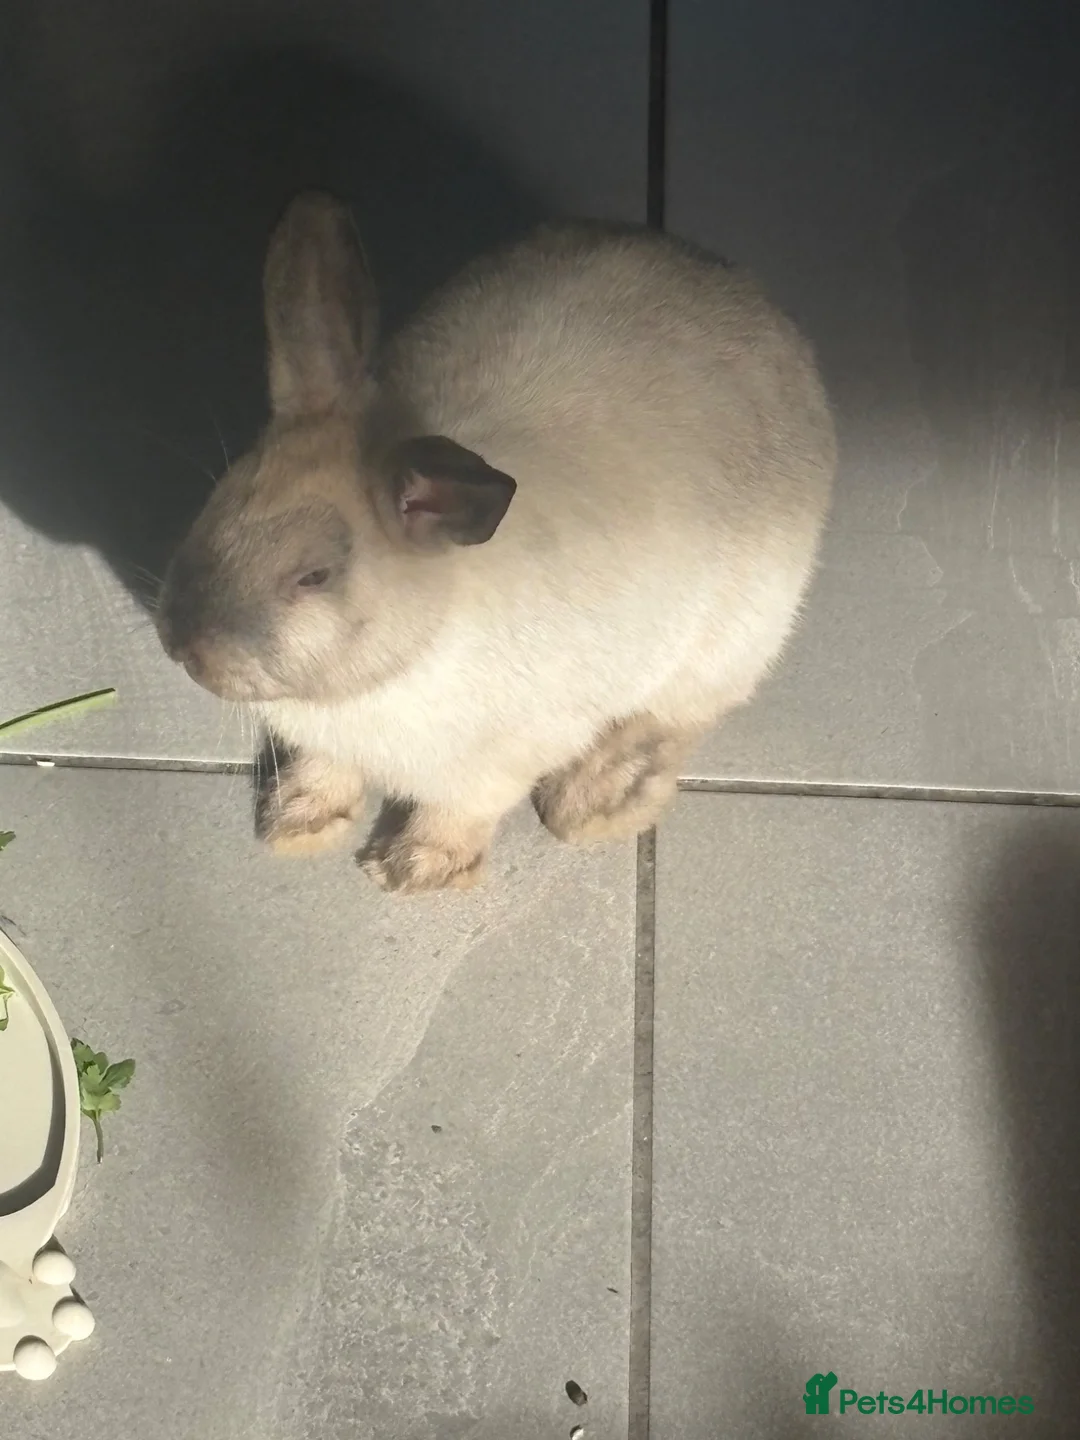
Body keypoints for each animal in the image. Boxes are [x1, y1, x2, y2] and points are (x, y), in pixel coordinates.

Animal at [157, 191, 836, 894]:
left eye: (313, 576)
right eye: (215, 504)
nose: (181, 644)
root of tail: (755, 301)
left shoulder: (502, 762)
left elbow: (460, 812)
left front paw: (411, 870)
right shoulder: (327, 743)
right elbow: (324, 769)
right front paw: (297, 824)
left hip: (731, 642)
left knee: (675, 720)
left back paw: (594, 804)